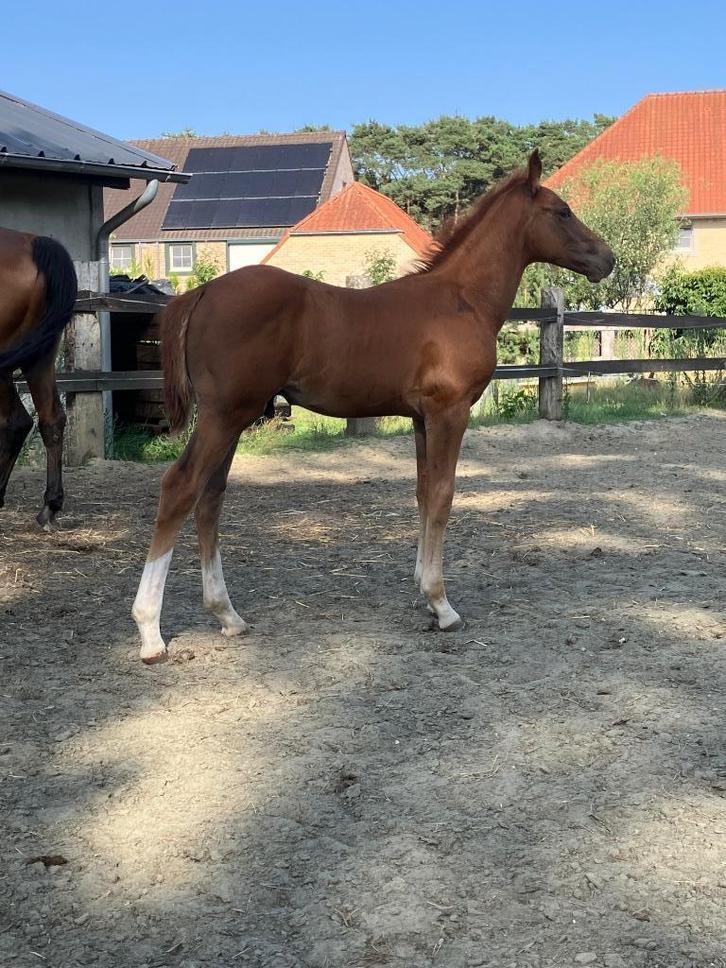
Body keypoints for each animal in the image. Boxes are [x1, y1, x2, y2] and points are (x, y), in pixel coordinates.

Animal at [132, 150, 614, 664]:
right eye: (562, 211)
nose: (607, 258)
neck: (462, 300)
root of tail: (201, 291)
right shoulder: (450, 413)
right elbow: (442, 496)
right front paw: (442, 605)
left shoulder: (423, 419)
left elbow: (424, 494)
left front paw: (424, 592)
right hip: (224, 415)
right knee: (181, 487)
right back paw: (150, 633)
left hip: (234, 418)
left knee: (210, 497)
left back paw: (227, 616)